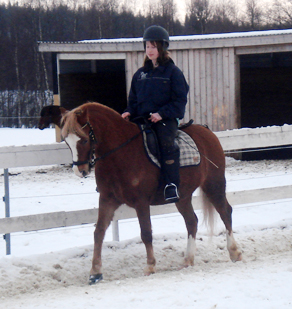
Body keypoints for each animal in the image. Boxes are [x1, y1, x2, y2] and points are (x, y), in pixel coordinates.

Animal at [60, 101, 242, 284]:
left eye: (84, 140)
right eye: (67, 141)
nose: (80, 171)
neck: (120, 153)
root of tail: (208, 132)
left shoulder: (141, 201)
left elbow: (146, 233)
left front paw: (150, 266)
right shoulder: (107, 199)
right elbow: (99, 232)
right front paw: (95, 272)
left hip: (214, 184)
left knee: (225, 212)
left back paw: (234, 252)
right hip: (182, 196)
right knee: (192, 221)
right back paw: (188, 260)